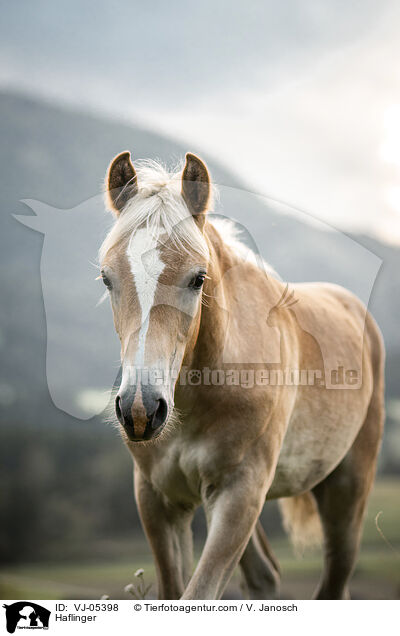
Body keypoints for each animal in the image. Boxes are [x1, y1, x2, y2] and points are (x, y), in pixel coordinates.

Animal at [99, 152, 384, 600]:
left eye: (198, 278)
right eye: (107, 278)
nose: (140, 410)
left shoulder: (240, 494)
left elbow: (198, 594)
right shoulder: (159, 500)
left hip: (347, 491)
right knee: (264, 576)